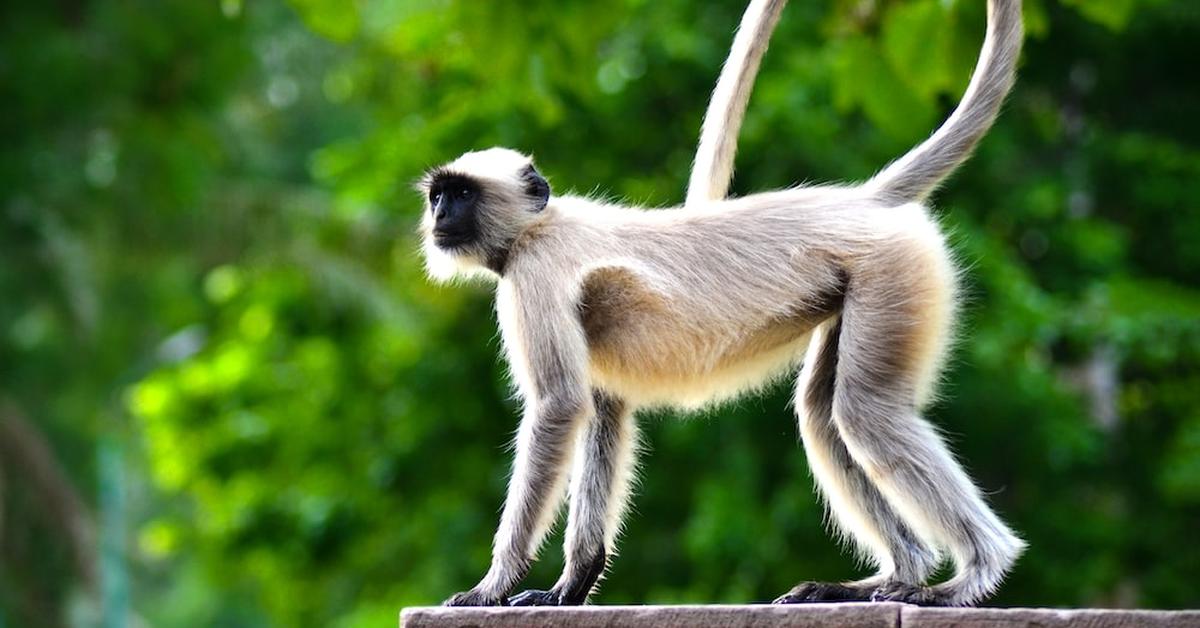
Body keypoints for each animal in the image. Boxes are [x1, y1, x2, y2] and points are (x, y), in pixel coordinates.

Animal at [420, 0, 1022, 609]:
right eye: (439, 194)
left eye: (462, 194)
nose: (439, 215)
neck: (539, 226)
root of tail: (860, 202)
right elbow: (605, 407)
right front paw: (571, 584)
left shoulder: (534, 274)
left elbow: (560, 406)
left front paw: (493, 585)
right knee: (822, 414)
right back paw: (895, 576)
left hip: (894, 274)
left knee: (866, 412)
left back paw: (971, 576)